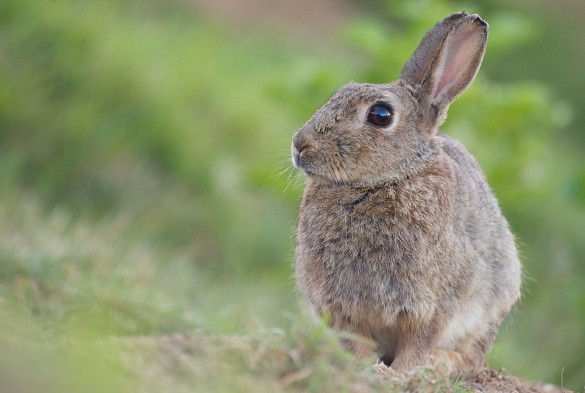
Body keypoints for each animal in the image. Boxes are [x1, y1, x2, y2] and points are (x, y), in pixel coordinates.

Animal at [292, 11, 520, 374]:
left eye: (381, 115)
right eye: (338, 92)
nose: (300, 145)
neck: (385, 181)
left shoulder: (431, 306)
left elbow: (420, 341)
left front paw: (401, 373)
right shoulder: (342, 307)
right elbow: (355, 342)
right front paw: (362, 369)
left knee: (472, 355)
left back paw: (444, 361)